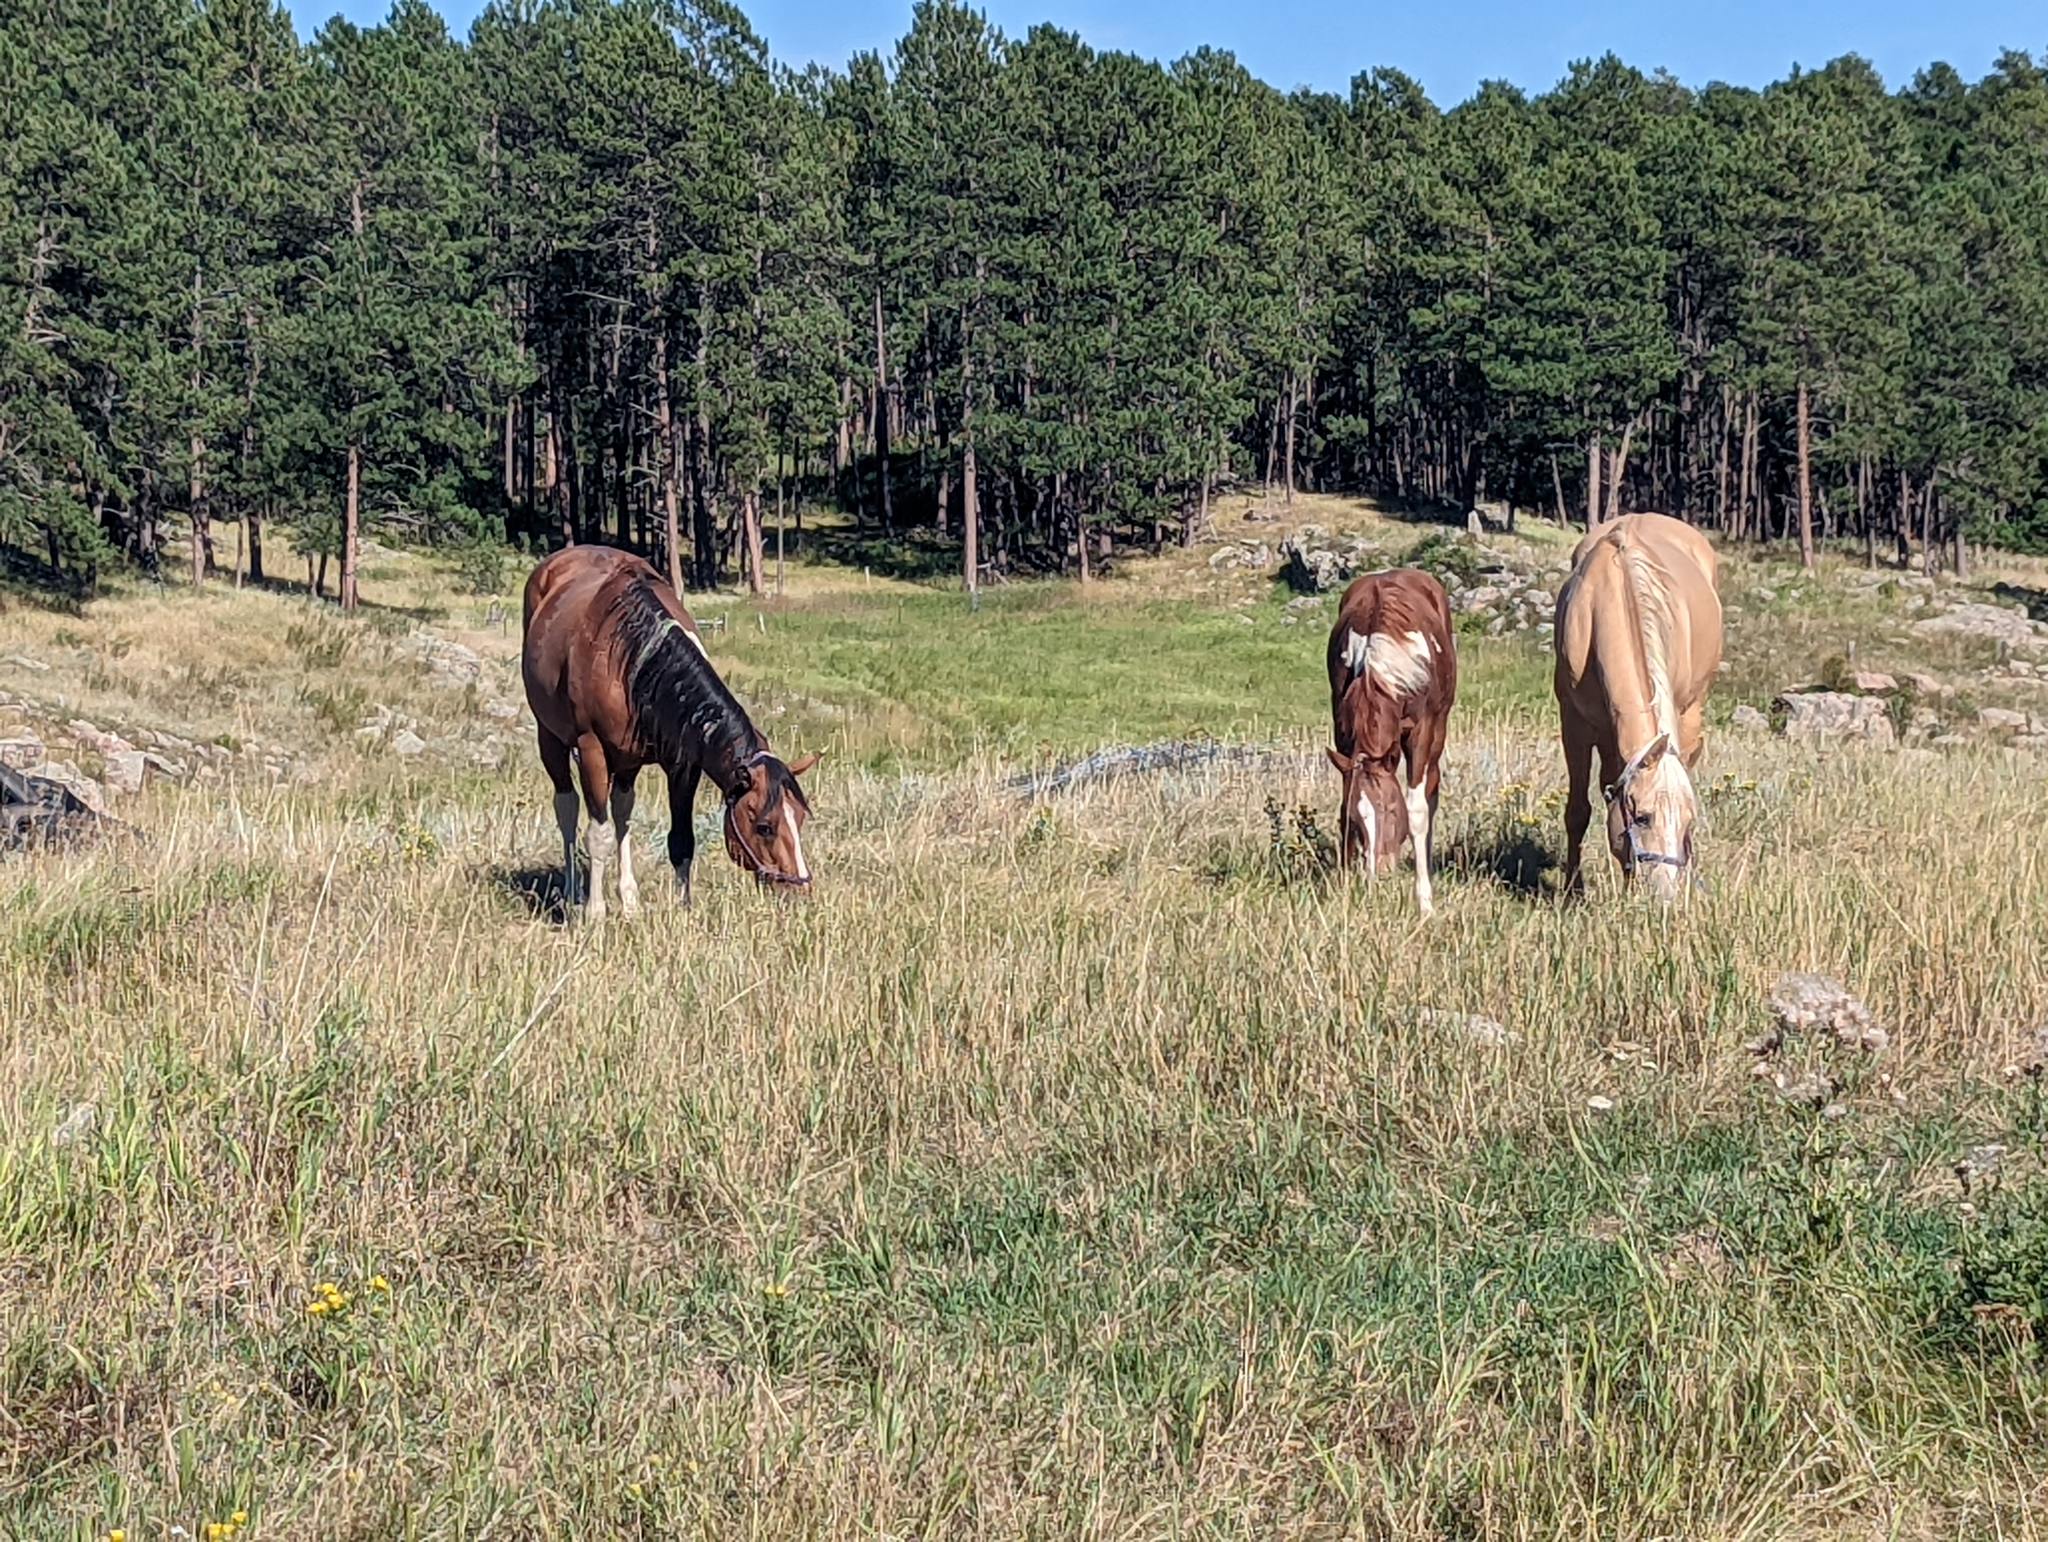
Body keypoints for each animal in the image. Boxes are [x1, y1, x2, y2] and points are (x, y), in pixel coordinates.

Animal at [520, 545, 819, 920]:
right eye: (764, 826)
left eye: (800, 817)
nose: (800, 893)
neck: (639, 661)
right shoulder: (592, 750)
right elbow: (598, 835)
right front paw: (595, 912)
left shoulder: (682, 764)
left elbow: (681, 840)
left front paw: (683, 910)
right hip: (552, 738)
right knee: (568, 807)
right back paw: (575, 891)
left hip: (627, 760)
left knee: (622, 812)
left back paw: (629, 899)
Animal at [1325, 567, 1457, 914]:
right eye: (1357, 820)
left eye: (1392, 810)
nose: (1379, 871)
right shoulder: (1343, 735)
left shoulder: (1422, 732)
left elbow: (1418, 809)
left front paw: (1424, 901)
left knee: (1431, 791)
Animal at [1552, 512, 1722, 900]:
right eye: (1642, 816)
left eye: (1689, 821)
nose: (1666, 897)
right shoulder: (1575, 723)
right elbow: (1578, 810)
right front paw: (1572, 892)